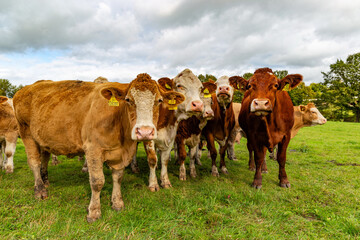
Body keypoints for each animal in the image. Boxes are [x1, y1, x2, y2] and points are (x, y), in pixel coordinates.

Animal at [12, 74, 184, 222]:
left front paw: (117, 203)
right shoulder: (92, 149)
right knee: (34, 162)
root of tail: (25, 89)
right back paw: (40, 190)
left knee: (44, 159)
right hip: (26, 132)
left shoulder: (120, 153)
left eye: (159, 100)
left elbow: (118, 177)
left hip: (42, 138)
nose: (145, 131)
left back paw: (45, 181)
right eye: (128, 100)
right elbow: (97, 181)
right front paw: (94, 211)